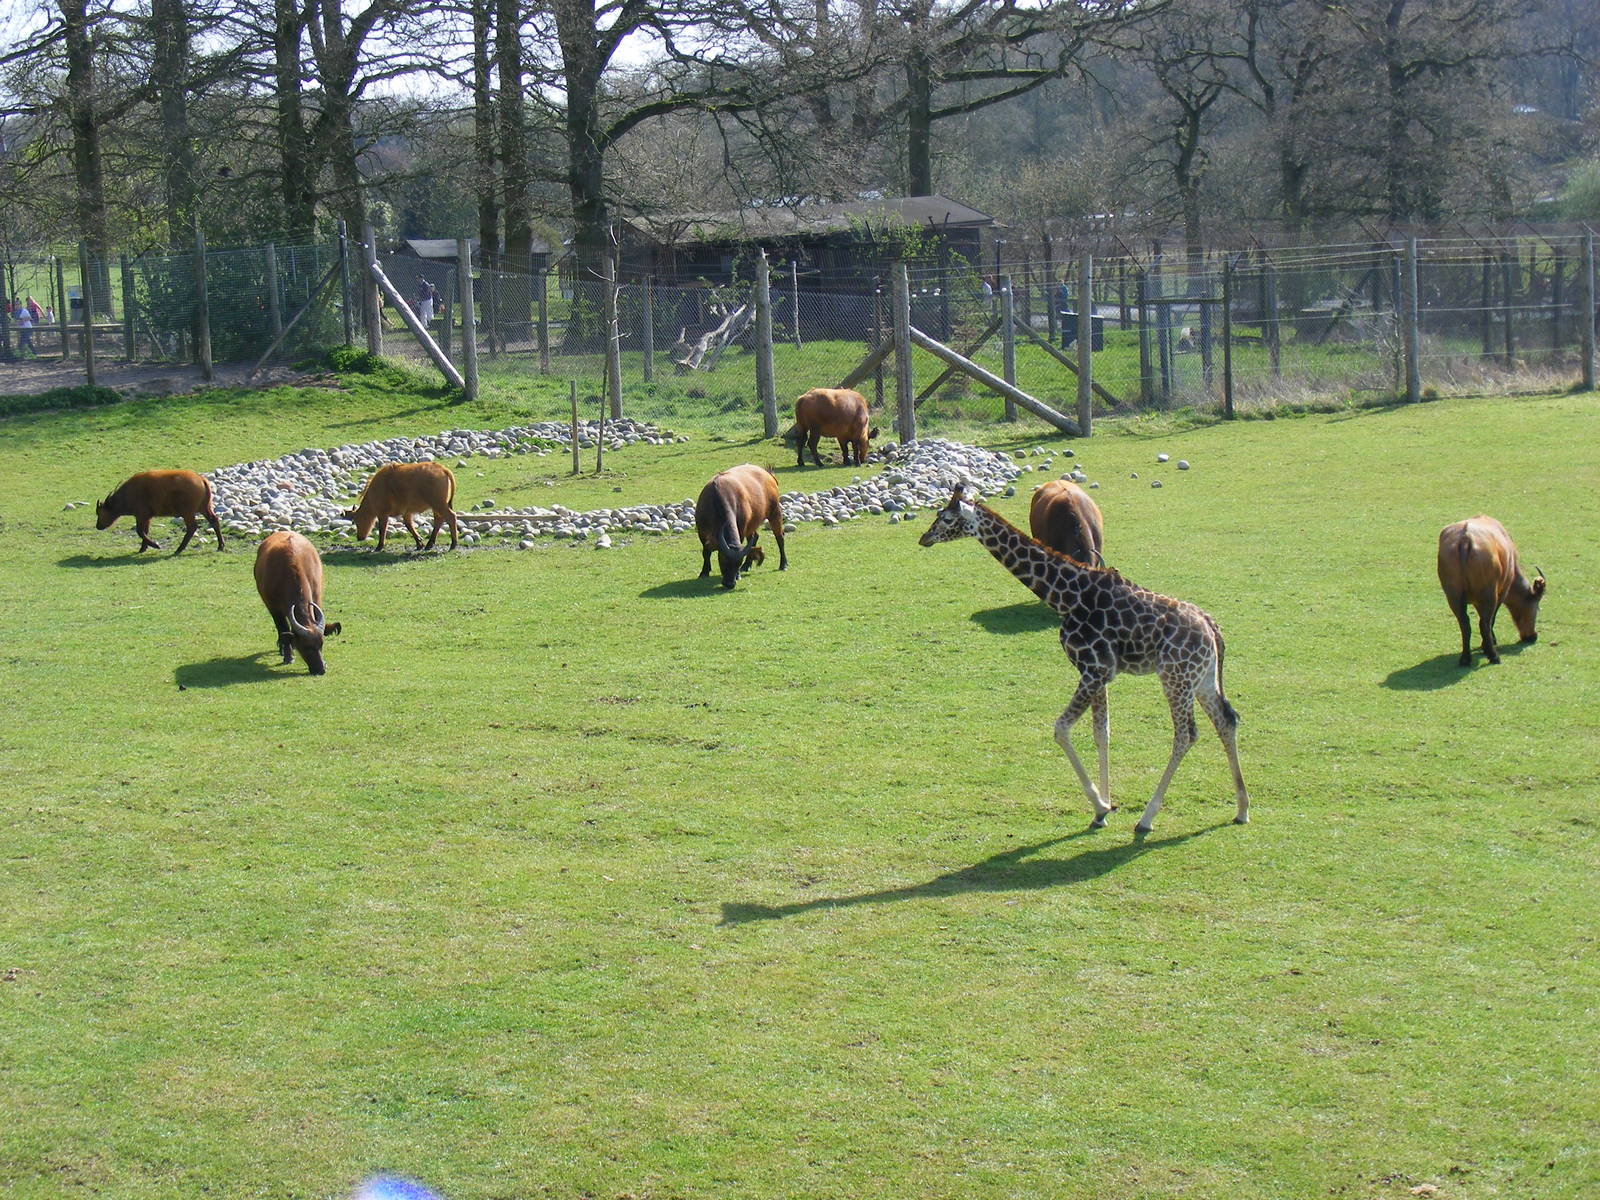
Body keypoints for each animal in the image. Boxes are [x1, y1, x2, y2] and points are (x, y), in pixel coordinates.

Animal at [95, 469, 224, 554]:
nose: (98, 526)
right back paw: (220, 546)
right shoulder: (147, 517)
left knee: (192, 527)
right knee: (214, 521)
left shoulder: (141, 515)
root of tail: (201, 479)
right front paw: (143, 548)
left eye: (100, 512)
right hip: (204, 508)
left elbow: (140, 531)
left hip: (188, 513)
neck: (128, 494)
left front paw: (155, 545)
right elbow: (145, 531)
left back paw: (179, 549)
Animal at [254, 531, 341, 675]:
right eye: (305, 646)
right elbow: (283, 628)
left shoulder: (316, 597)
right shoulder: (274, 608)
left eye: (321, 644)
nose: (321, 669)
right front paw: (288, 656)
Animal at [919, 486, 1248, 834]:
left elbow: (1061, 728)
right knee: (1226, 720)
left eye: (946, 518)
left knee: (1186, 734)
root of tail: (1212, 629)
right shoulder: (1101, 673)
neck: (1066, 596)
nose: (924, 538)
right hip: (1203, 678)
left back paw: (1147, 818)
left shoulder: (1093, 669)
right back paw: (1242, 808)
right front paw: (1104, 808)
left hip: (1176, 678)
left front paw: (1100, 804)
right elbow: (1101, 732)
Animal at [1437, 515, 1545, 667]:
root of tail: (1465, 538)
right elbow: (1491, 619)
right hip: (1489, 594)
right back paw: (1493, 656)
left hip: (1453, 595)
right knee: (1484, 623)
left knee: (1465, 624)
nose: (1532, 636)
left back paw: (1465, 658)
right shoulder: (1502, 592)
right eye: (1537, 608)